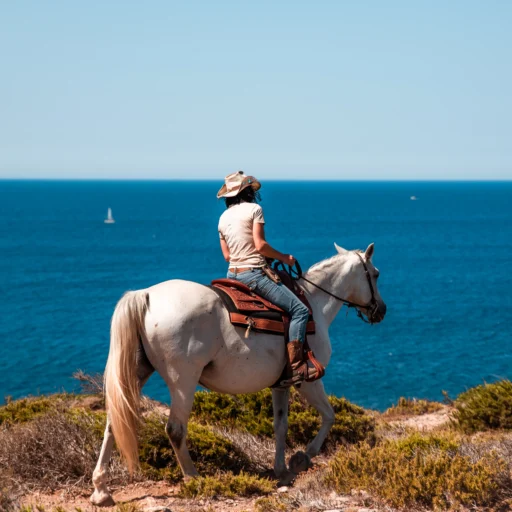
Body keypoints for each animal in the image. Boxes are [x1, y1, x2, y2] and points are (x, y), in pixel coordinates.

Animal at [92, 243, 386, 504]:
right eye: (375, 274)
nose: (380, 310)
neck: (313, 304)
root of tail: (146, 296)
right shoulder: (308, 381)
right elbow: (329, 416)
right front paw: (302, 458)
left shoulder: (281, 384)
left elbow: (280, 426)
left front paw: (281, 469)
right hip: (183, 382)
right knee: (175, 429)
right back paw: (193, 478)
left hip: (136, 373)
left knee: (114, 422)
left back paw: (101, 490)